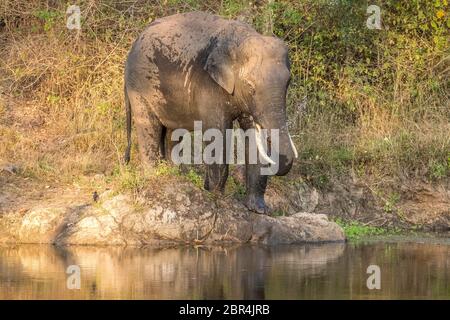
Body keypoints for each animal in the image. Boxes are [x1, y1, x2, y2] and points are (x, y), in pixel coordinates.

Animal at [125, 11, 298, 214]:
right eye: (250, 87)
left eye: (288, 83)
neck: (241, 38)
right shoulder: (208, 85)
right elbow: (218, 134)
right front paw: (217, 198)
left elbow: (251, 137)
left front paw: (259, 210)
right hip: (139, 87)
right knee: (149, 126)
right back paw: (155, 177)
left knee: (172, 134)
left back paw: (173, 176)